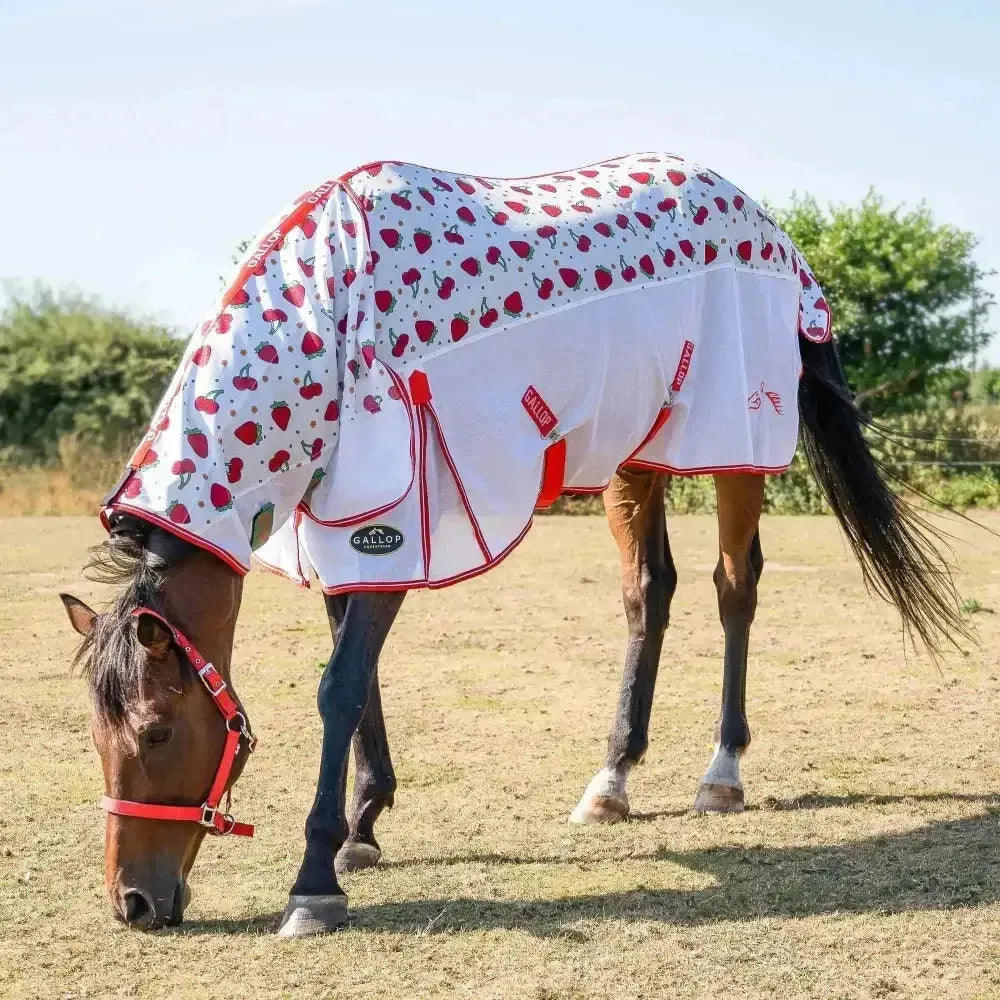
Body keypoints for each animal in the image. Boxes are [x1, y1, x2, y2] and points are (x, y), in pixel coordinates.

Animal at [60, 152, 966, 936]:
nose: (133, 903)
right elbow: (359, 680)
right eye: (97, 737)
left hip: (731, 443)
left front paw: (315, 880)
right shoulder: (344, 531)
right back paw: (613, 780)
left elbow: (339, 688)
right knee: (650, 590)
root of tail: (772, 231)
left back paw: (722, 772)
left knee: (733, 584)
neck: (329, 314)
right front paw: (364, 824)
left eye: (156, 733)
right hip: (635, 454)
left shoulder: (393, 529)